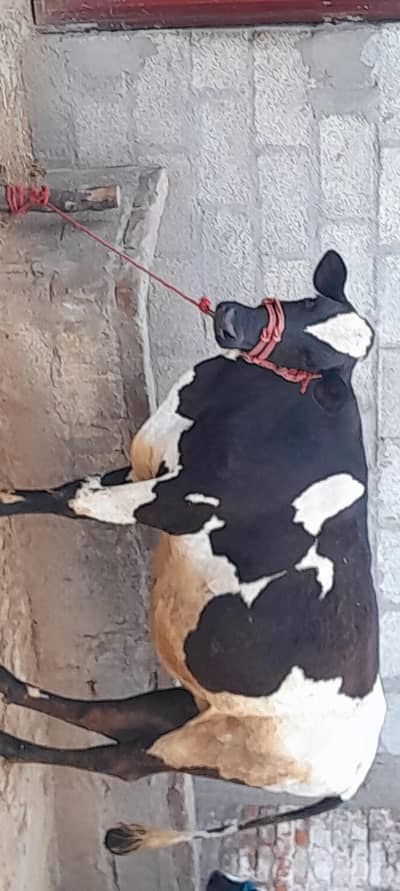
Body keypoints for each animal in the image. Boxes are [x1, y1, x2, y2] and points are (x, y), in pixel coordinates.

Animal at [0, 250, 386, 854]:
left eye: (311, 360)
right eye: (307, 305)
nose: (233, 320)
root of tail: (353, 778)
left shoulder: (172, 502)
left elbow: (67, 505)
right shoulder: (144, 470)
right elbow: (60, 491)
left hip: (217, 750)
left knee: (122, 762)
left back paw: (9, 746)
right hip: (194, 701)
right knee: (103, 715)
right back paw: (5, 685)